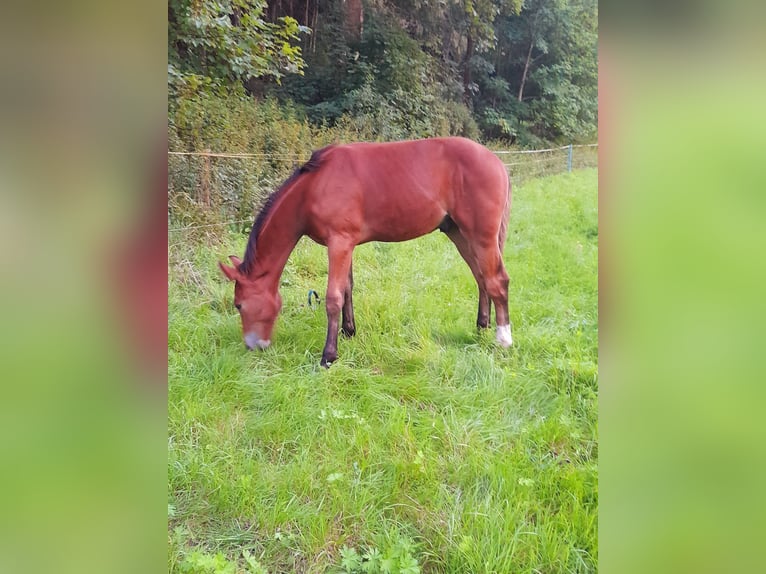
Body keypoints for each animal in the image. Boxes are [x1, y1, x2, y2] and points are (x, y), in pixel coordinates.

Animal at [219, 137, 512, 366]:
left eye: (238, 304)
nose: (253, 346)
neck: (313, 187)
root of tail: (497, 162)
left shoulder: (339, 243)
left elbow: (333, 297)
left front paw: (328, 355)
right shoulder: (345, 244)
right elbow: (348, 289)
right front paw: (348, 332)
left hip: (481, 236)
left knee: (497, 281)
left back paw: (504, 340)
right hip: (459, 233)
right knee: (481, 278)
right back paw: (481, 327)